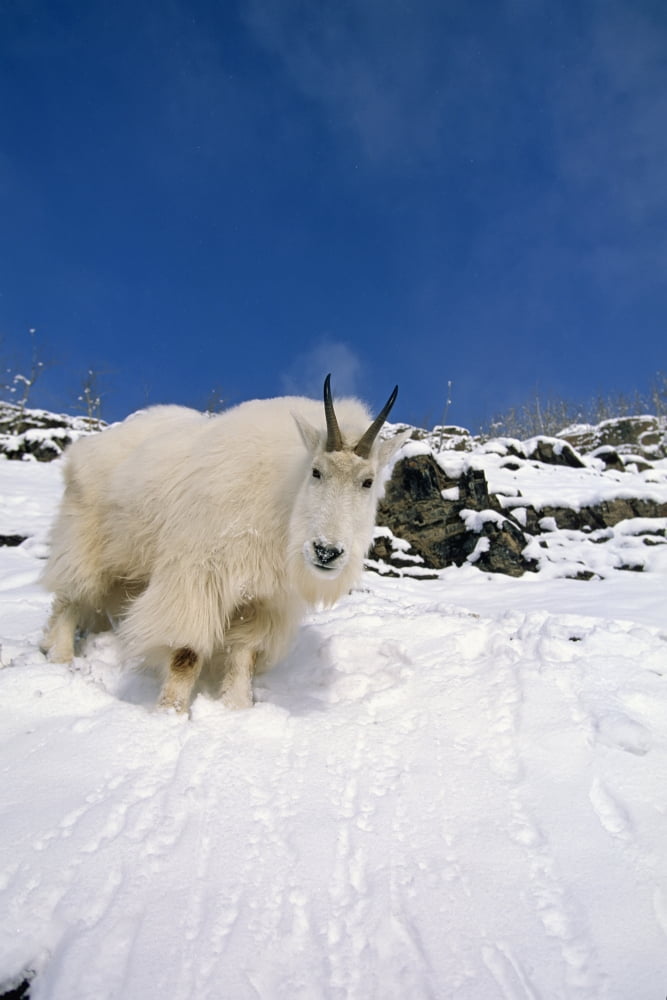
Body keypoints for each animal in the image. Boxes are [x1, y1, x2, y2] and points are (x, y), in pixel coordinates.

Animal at [40, 376, 404, 712]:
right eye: (316, 472)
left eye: (368, 482)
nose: (326, 551)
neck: (282, 500)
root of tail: (88, 447)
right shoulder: (197, 576)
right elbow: (185, 652)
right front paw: (171, 712)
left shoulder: (262, 600)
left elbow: (244, 654)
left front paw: (238, 707)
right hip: (83, 535)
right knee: (69, 596)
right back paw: (60, 656)